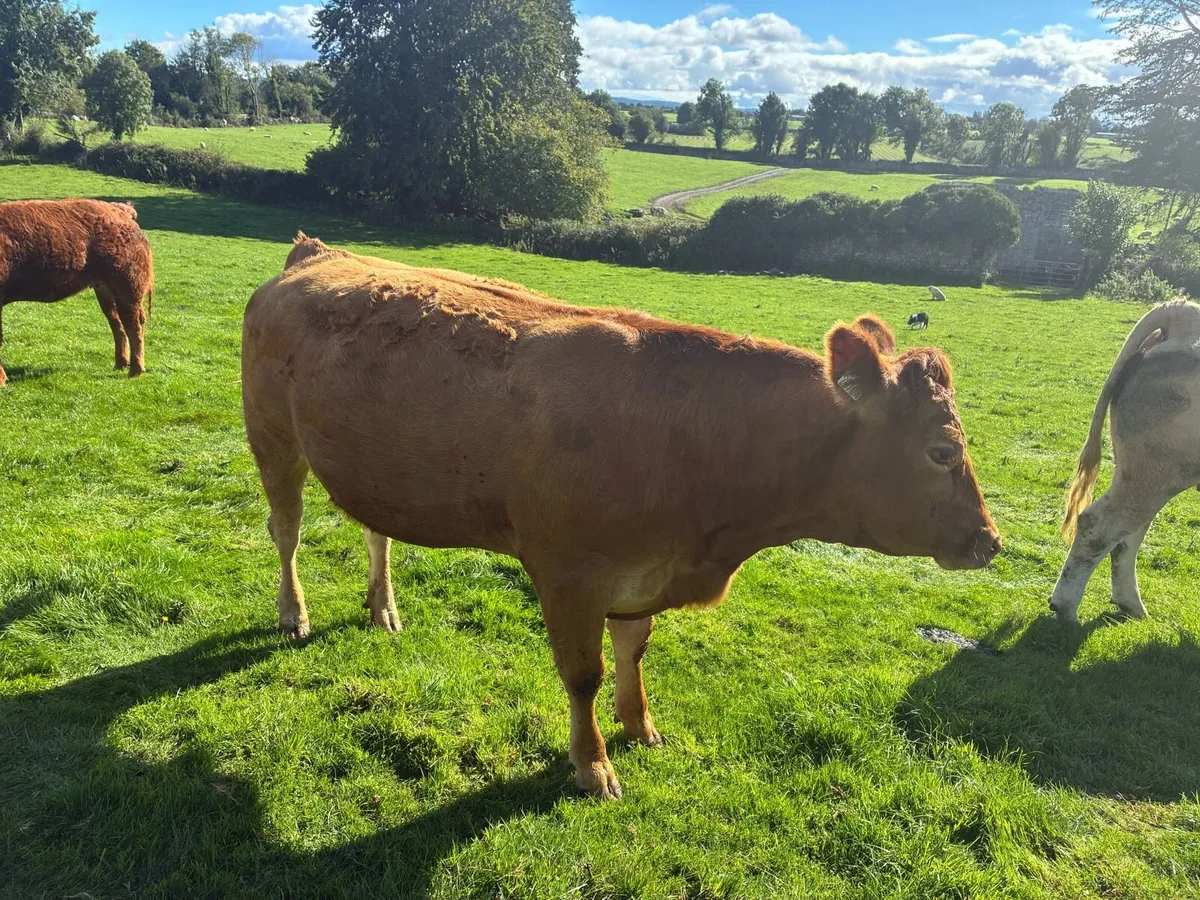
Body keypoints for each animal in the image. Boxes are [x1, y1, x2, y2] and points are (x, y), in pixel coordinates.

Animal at [0, 199, 154, 387]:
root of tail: (119, 210)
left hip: (128, 288)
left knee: (133, 325)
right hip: (104, 290)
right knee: (117, 324)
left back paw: (135, 371)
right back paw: (120, 364)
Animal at [241, 233, 1002, 799]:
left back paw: (383, 607)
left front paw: (640, 726)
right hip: (271, 439)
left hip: (374, 470)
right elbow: (583, 674)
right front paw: (593, 764)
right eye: (941, 450)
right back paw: (293, 614)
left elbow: (634, 649)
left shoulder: (643, 572)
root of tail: (316, 253)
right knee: (285, 532)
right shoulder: (567, 574)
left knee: (376, 530)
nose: (989, 541)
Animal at [1051, 299, 1200, 623]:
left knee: (1127, 534)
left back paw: (1130, 604)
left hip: (1141, 472)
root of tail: (1183, 313)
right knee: (1102, 525)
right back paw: (1066, 607)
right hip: (1157, 472)